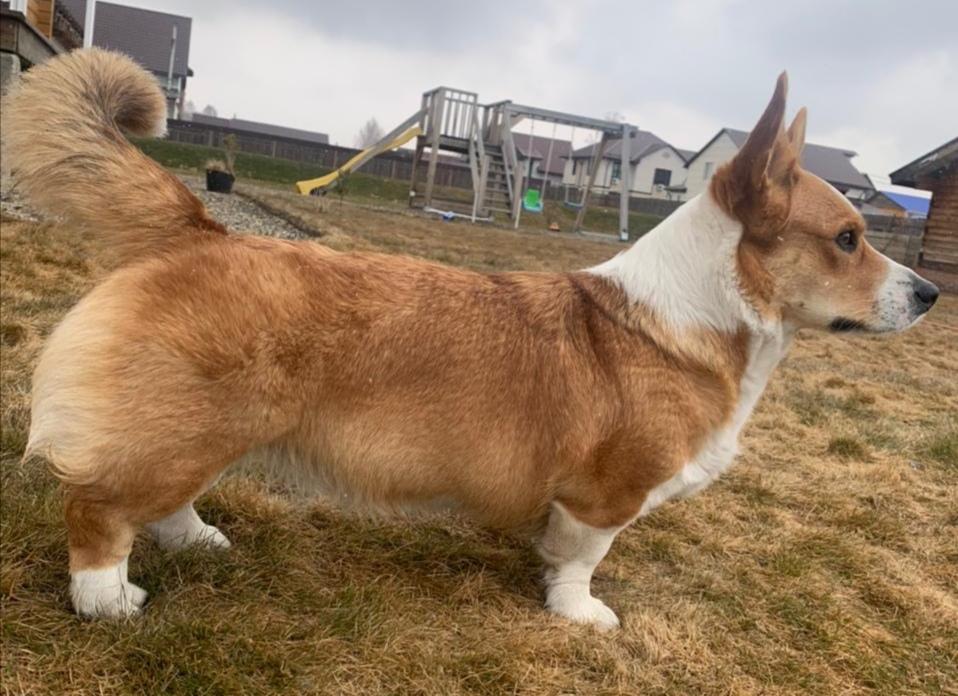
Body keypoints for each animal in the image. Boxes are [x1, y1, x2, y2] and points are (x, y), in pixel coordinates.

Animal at [3, 49, 940, 624]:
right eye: (849, 238)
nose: (932, 293)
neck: (699, 311)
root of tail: (201, 230)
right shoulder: (605, 496)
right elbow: (583, 560)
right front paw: (579, 616)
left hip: (205, 429)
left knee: (157, 500)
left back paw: (195, 539)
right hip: (193, 425)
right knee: (98, 506)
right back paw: (106, 600)